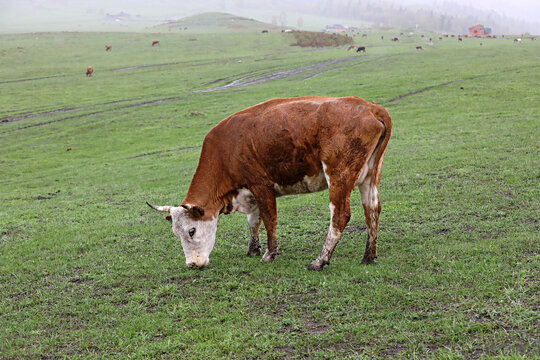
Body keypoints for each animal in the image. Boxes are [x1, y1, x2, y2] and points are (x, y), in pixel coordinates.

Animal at [148, 95, 392, 270]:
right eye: (176, 233)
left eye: (191, 230)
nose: (192, 264)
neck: (225, 149)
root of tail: (369, 107)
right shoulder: (249, 192)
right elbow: (253, 222)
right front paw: (253, 249)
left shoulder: (262, 186)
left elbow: (269, 219)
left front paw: (269, 253)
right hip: (370, 175)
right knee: (372, 210)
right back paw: (369, 256)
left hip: (339, 176)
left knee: (340, 215)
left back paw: (320, 260)